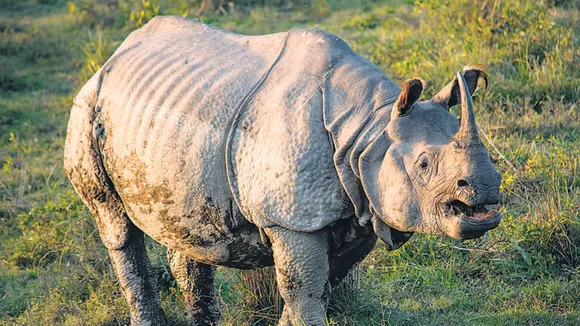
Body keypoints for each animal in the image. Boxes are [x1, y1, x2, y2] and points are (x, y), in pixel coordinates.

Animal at [62, 15, 498, 326]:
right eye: (423, 164)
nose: (488, 188)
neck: (368, 130)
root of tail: (116, 54)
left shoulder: (361, 206)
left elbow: (318, 287)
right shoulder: (291, 220)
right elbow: (305, 291)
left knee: (187, 232)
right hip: (86, 110)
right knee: (116, 225)